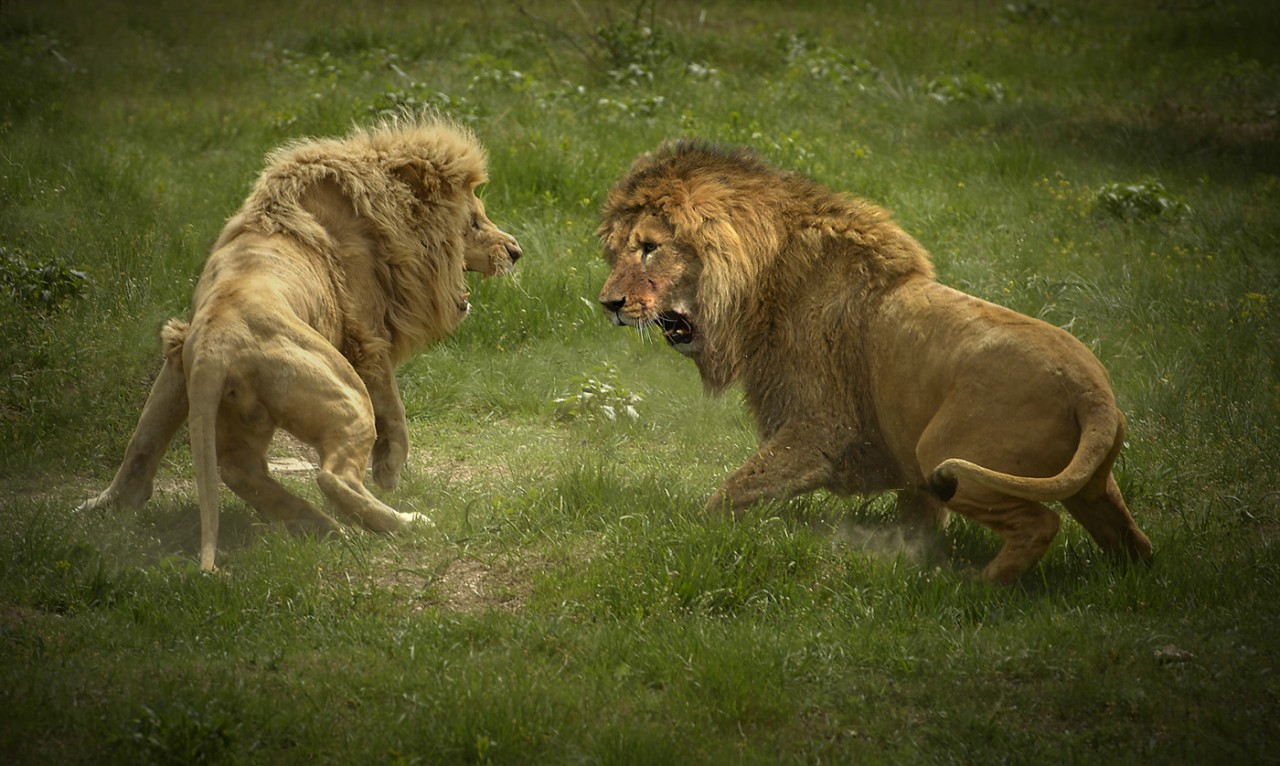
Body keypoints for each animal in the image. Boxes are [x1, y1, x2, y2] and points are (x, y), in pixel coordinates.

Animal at [77, 117, 519, 573]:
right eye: (475, 223)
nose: (516, 251)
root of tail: (215, 346)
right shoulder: (366, 334)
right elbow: (393, 405)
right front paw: (391, 468)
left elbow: (147, 442)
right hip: (344, 388)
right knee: (332, 477)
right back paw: (401, 524)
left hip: (193, 370)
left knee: (190, 456)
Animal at [596, 140, 1152, 586]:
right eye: (615, 253)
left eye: (649, 248)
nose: (608, 304)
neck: (759, 283)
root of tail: (1093, 394)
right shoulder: (904, 465)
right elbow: (918, 521)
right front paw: (911, 553)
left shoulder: (822, 425)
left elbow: (732, 493)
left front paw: (690, 532)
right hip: (1090, 485)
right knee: (1129, 540)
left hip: (946, 455)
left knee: (1041, 523)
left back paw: (975, 586)